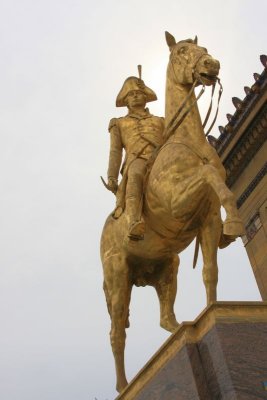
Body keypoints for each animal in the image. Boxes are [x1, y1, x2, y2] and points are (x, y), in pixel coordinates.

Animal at [101, 32, 245, 394]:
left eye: (203, 49)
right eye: (182, 51)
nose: (212, 65)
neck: (188, 143)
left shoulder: (207, 223)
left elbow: (210, 271)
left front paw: (213, 309)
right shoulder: (178, 202)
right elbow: (208, 176)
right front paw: (236, 222)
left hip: (167, 268)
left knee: (166, 318)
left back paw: (182, 330)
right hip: (118, 279)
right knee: (116, 334)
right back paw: (124, 385)